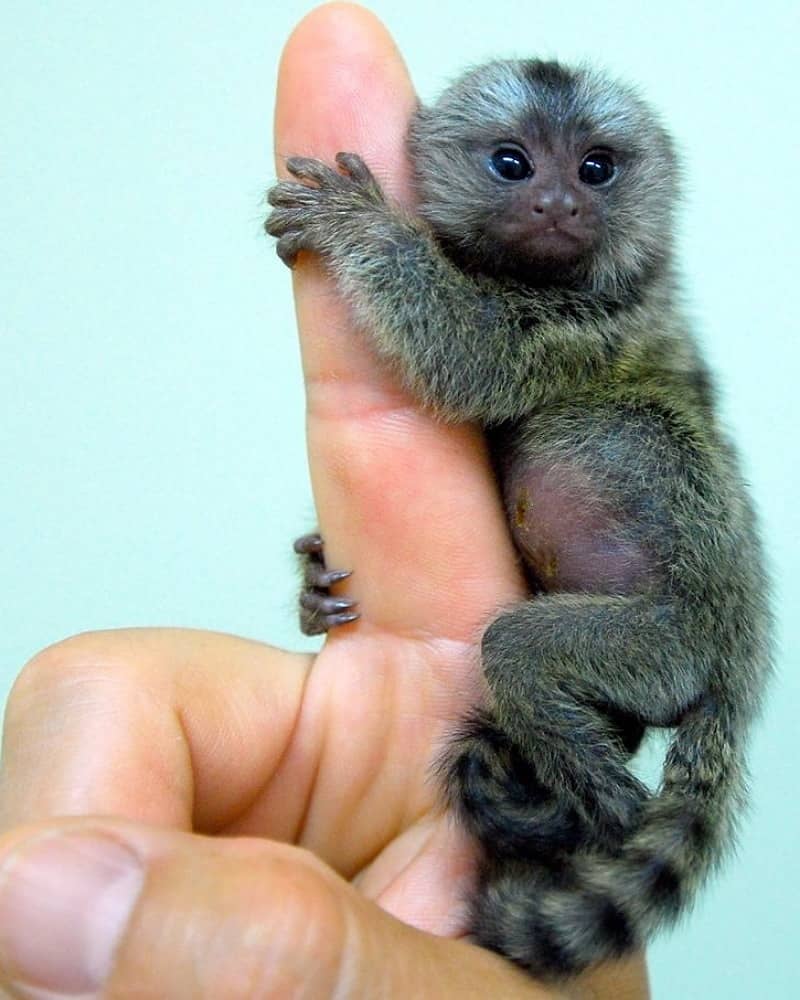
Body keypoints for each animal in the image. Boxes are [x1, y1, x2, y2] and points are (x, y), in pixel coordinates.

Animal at [266, 60, 772, 976]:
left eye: (596, 170)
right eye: (513, 164)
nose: (561, 205)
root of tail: (739, 673)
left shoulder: (592, 322)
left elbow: (470, 352)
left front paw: (360, 225)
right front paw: (313, 579)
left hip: (668, 647)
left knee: (522, 652)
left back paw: (593, 808)